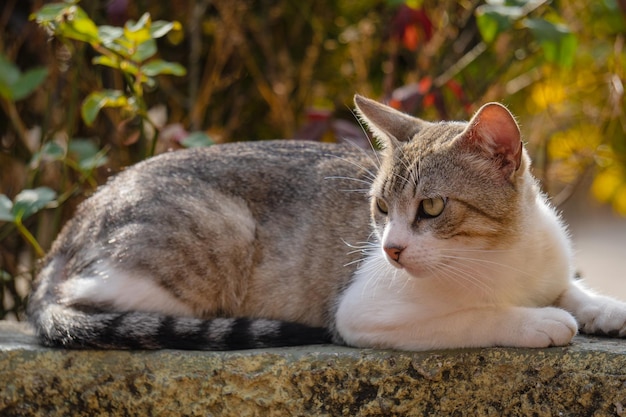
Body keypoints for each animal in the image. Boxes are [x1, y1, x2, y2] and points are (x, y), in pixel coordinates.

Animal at [28, 96, 624, 350]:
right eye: (381, 208)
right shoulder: (361, 312)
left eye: (431, 207)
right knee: (98, 300)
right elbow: (476, 317)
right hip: (214, 239)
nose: (391, 250)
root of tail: (66, 234)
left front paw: (603, 308)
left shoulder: (550, 264)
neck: (504, 251)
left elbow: (570, 287)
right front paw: (539, 321)